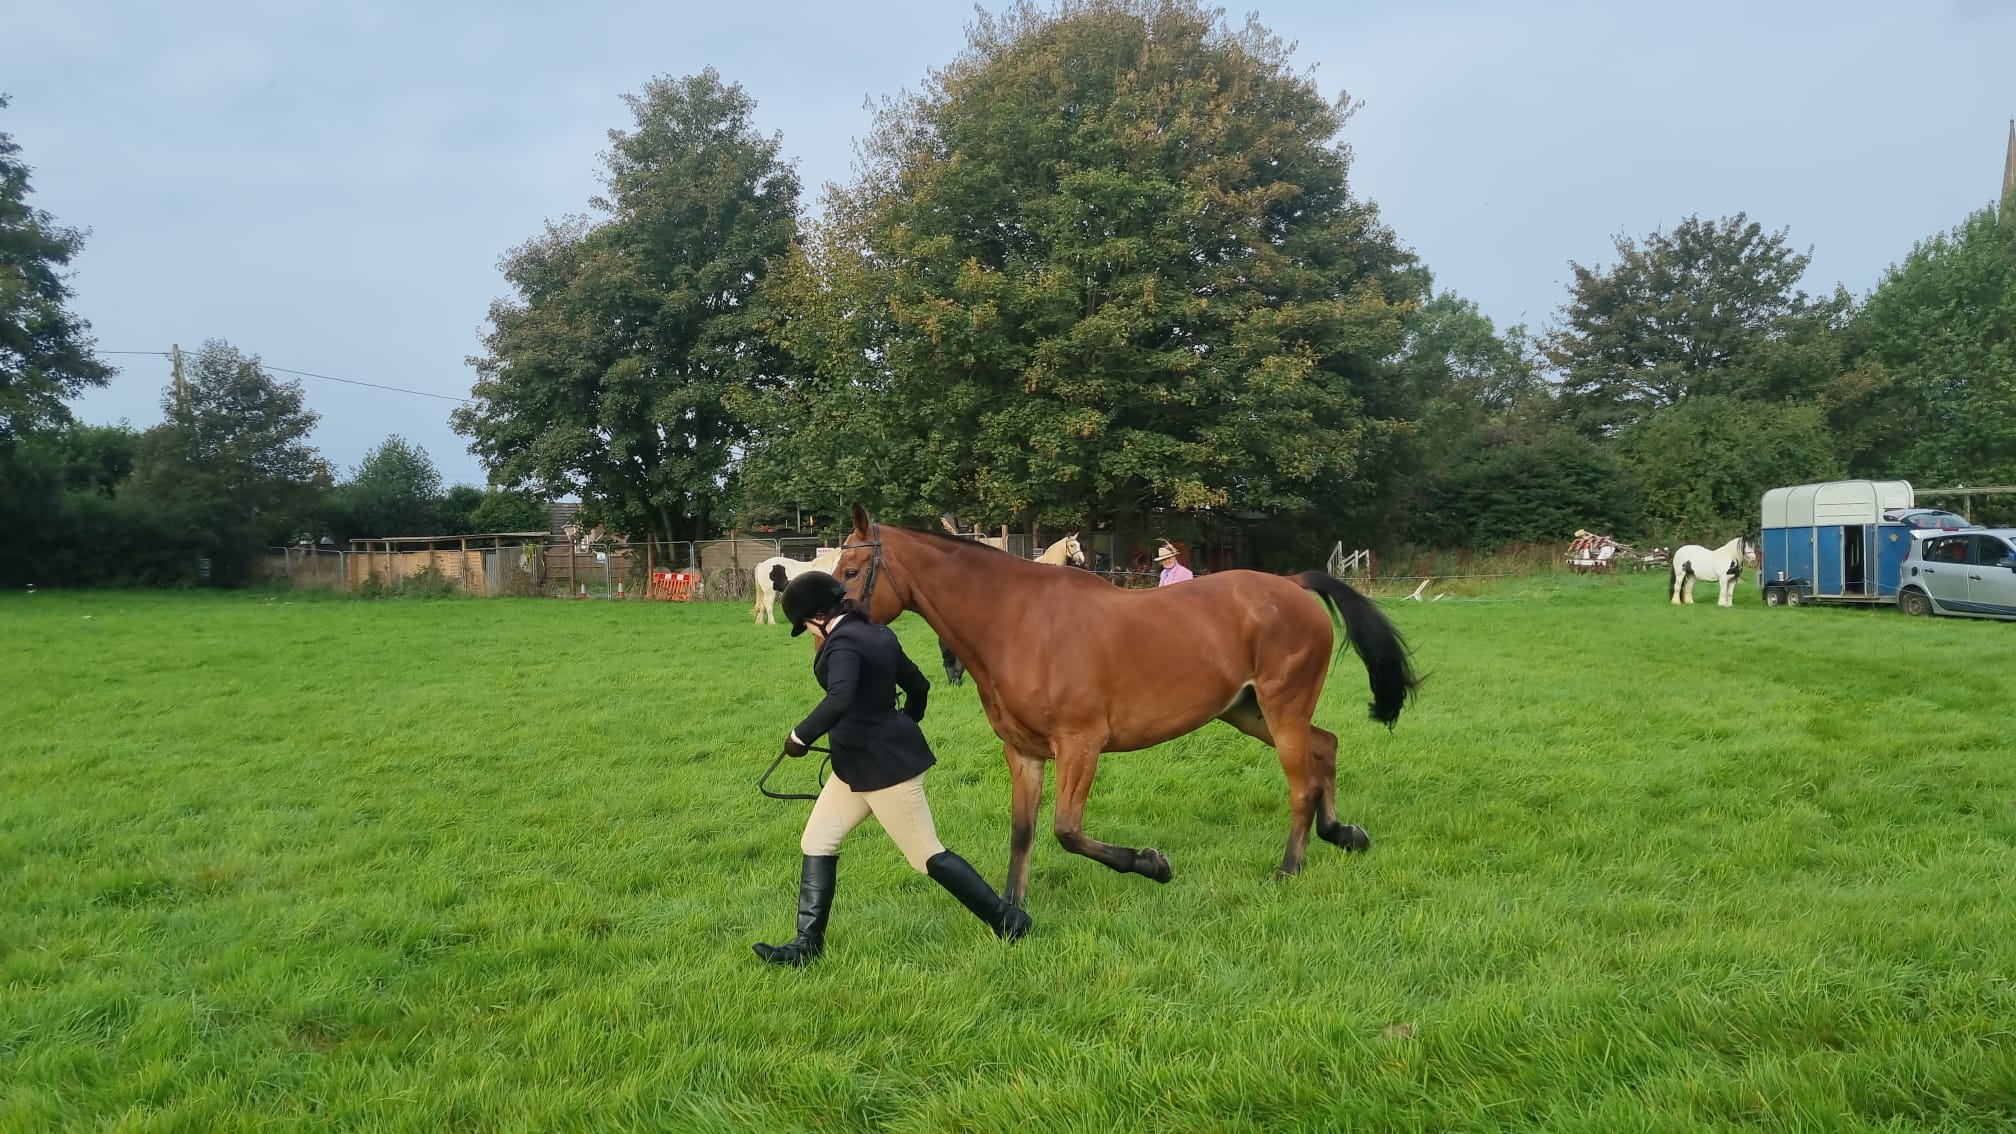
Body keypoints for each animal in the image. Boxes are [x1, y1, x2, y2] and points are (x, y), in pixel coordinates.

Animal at [826, 502, 1411, 899]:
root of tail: (1291, 584)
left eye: (850, 574)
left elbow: (1066, 830)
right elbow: (1023, 832)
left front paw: (1153, 864)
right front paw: (1012, 909)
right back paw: (1342, 833)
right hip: (1248, 711)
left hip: (1281, 707)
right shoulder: (1025, 753)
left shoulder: (1080, 745)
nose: (821, 631)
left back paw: (1290, 867)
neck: (1018, 622)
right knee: (1325, 745)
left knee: (1302, 784)